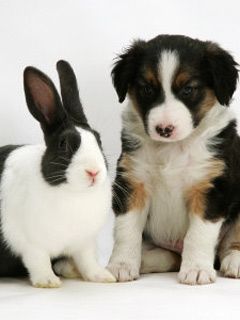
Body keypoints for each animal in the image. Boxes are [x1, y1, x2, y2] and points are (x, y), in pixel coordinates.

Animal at [0, 60, 115, 288]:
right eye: (63, 144)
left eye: (98, 139)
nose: (93, 171)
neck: (73, 194)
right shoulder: (32, 245)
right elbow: (39, 262)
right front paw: (48, 281)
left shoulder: (84, 243)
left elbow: (88, 261)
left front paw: (102, 276)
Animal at [108, 34, 239, 284]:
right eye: (147, 88)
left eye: (188, 89)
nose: (164, 129)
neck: (172, 149)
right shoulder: (133, 182)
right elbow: (126, 230)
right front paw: (121, 265)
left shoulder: (210, 187)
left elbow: (199, 234)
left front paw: (197, 269)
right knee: (169, 257)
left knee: (230, 244)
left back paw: (234, 262)